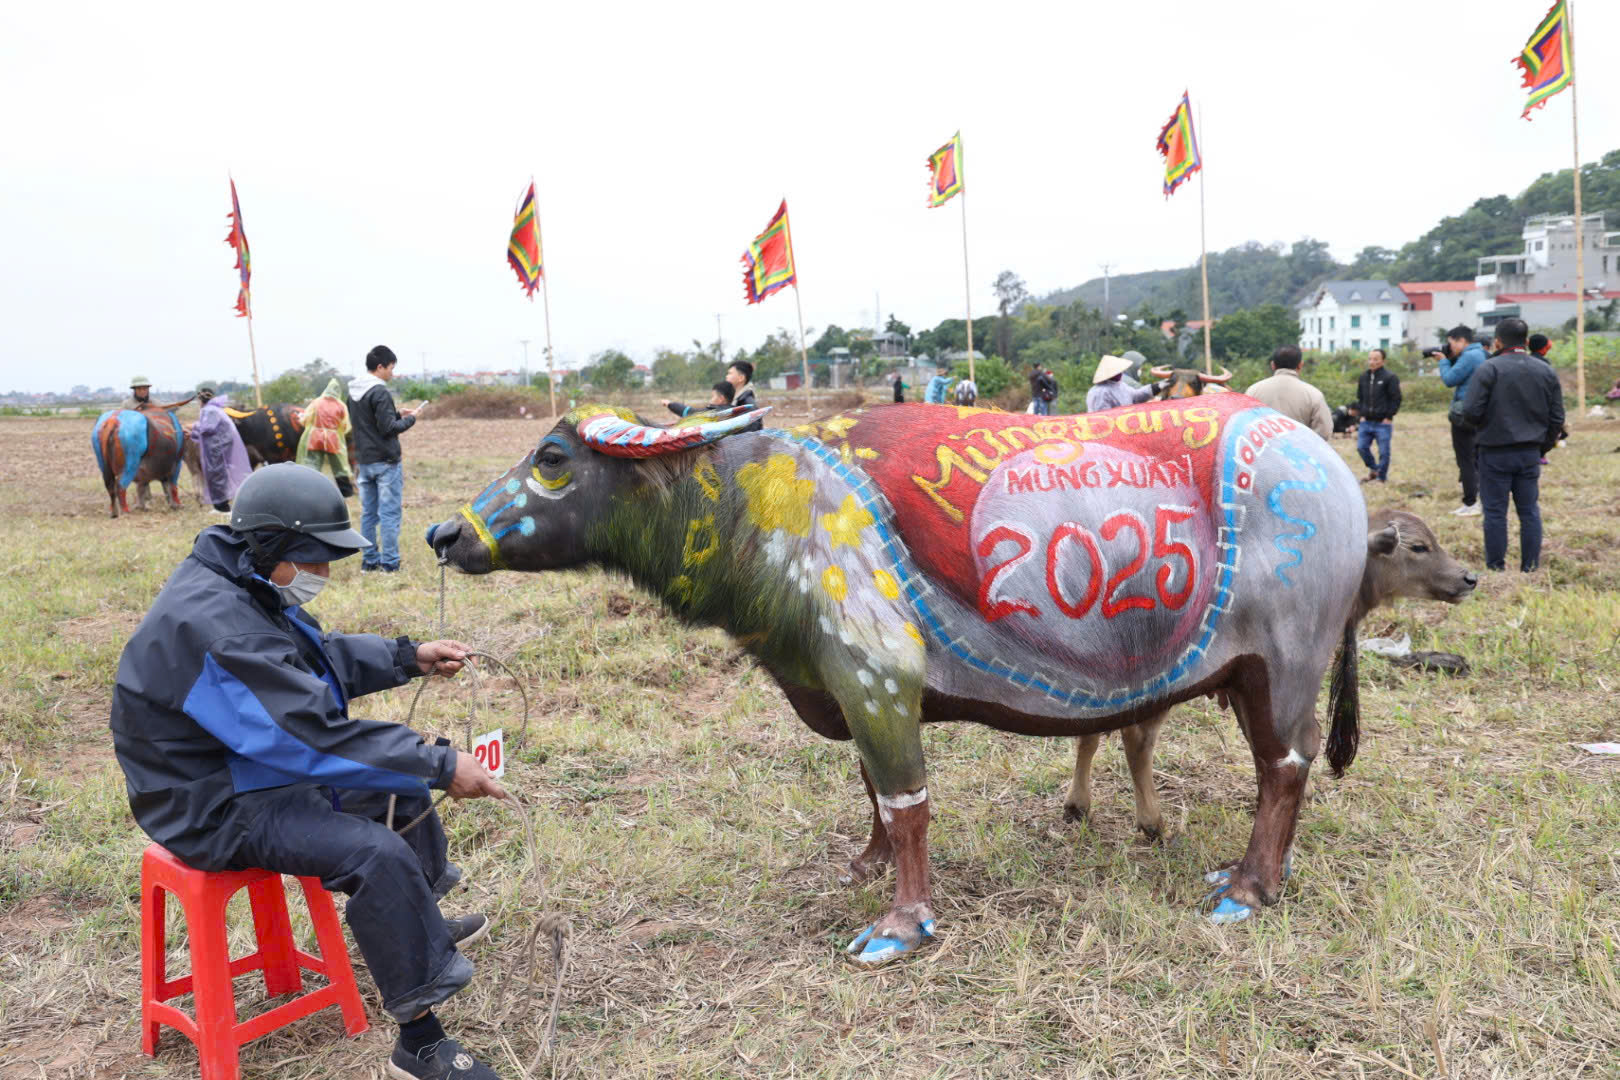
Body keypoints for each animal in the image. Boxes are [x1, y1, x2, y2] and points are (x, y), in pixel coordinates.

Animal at [430, 395, 1367, 965]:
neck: (763, 508)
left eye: (554, 457)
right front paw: (867, 863)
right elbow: (870, 791)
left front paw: (899, 923)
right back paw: (1256, 873)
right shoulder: (848, 688)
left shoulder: (878, 679)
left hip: (1288, 660)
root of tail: (1321, 460)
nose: (445, 533)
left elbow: (909, 801)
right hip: (1253, 676)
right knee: (1280, 771)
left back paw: (1245, 890)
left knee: (1284, 770)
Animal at [1062, 508, 1483, 854]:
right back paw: (1152, 824)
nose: (1469, 578)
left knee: (1093, 733)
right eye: (1419, 547)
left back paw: (1078, 804)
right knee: (1137, 741)